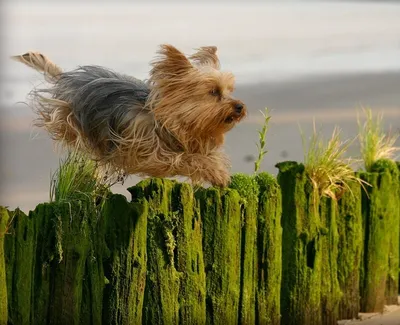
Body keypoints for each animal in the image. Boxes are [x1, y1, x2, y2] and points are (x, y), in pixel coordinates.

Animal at [12, 43, 247, 186]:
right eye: (213, 92)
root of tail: (66, 77)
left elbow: (206, 155)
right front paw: (217, 174)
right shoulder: (147, 153)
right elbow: (185, 159)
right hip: (68, 117)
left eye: (229, 90)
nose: (240, 106)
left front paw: (218, 168)